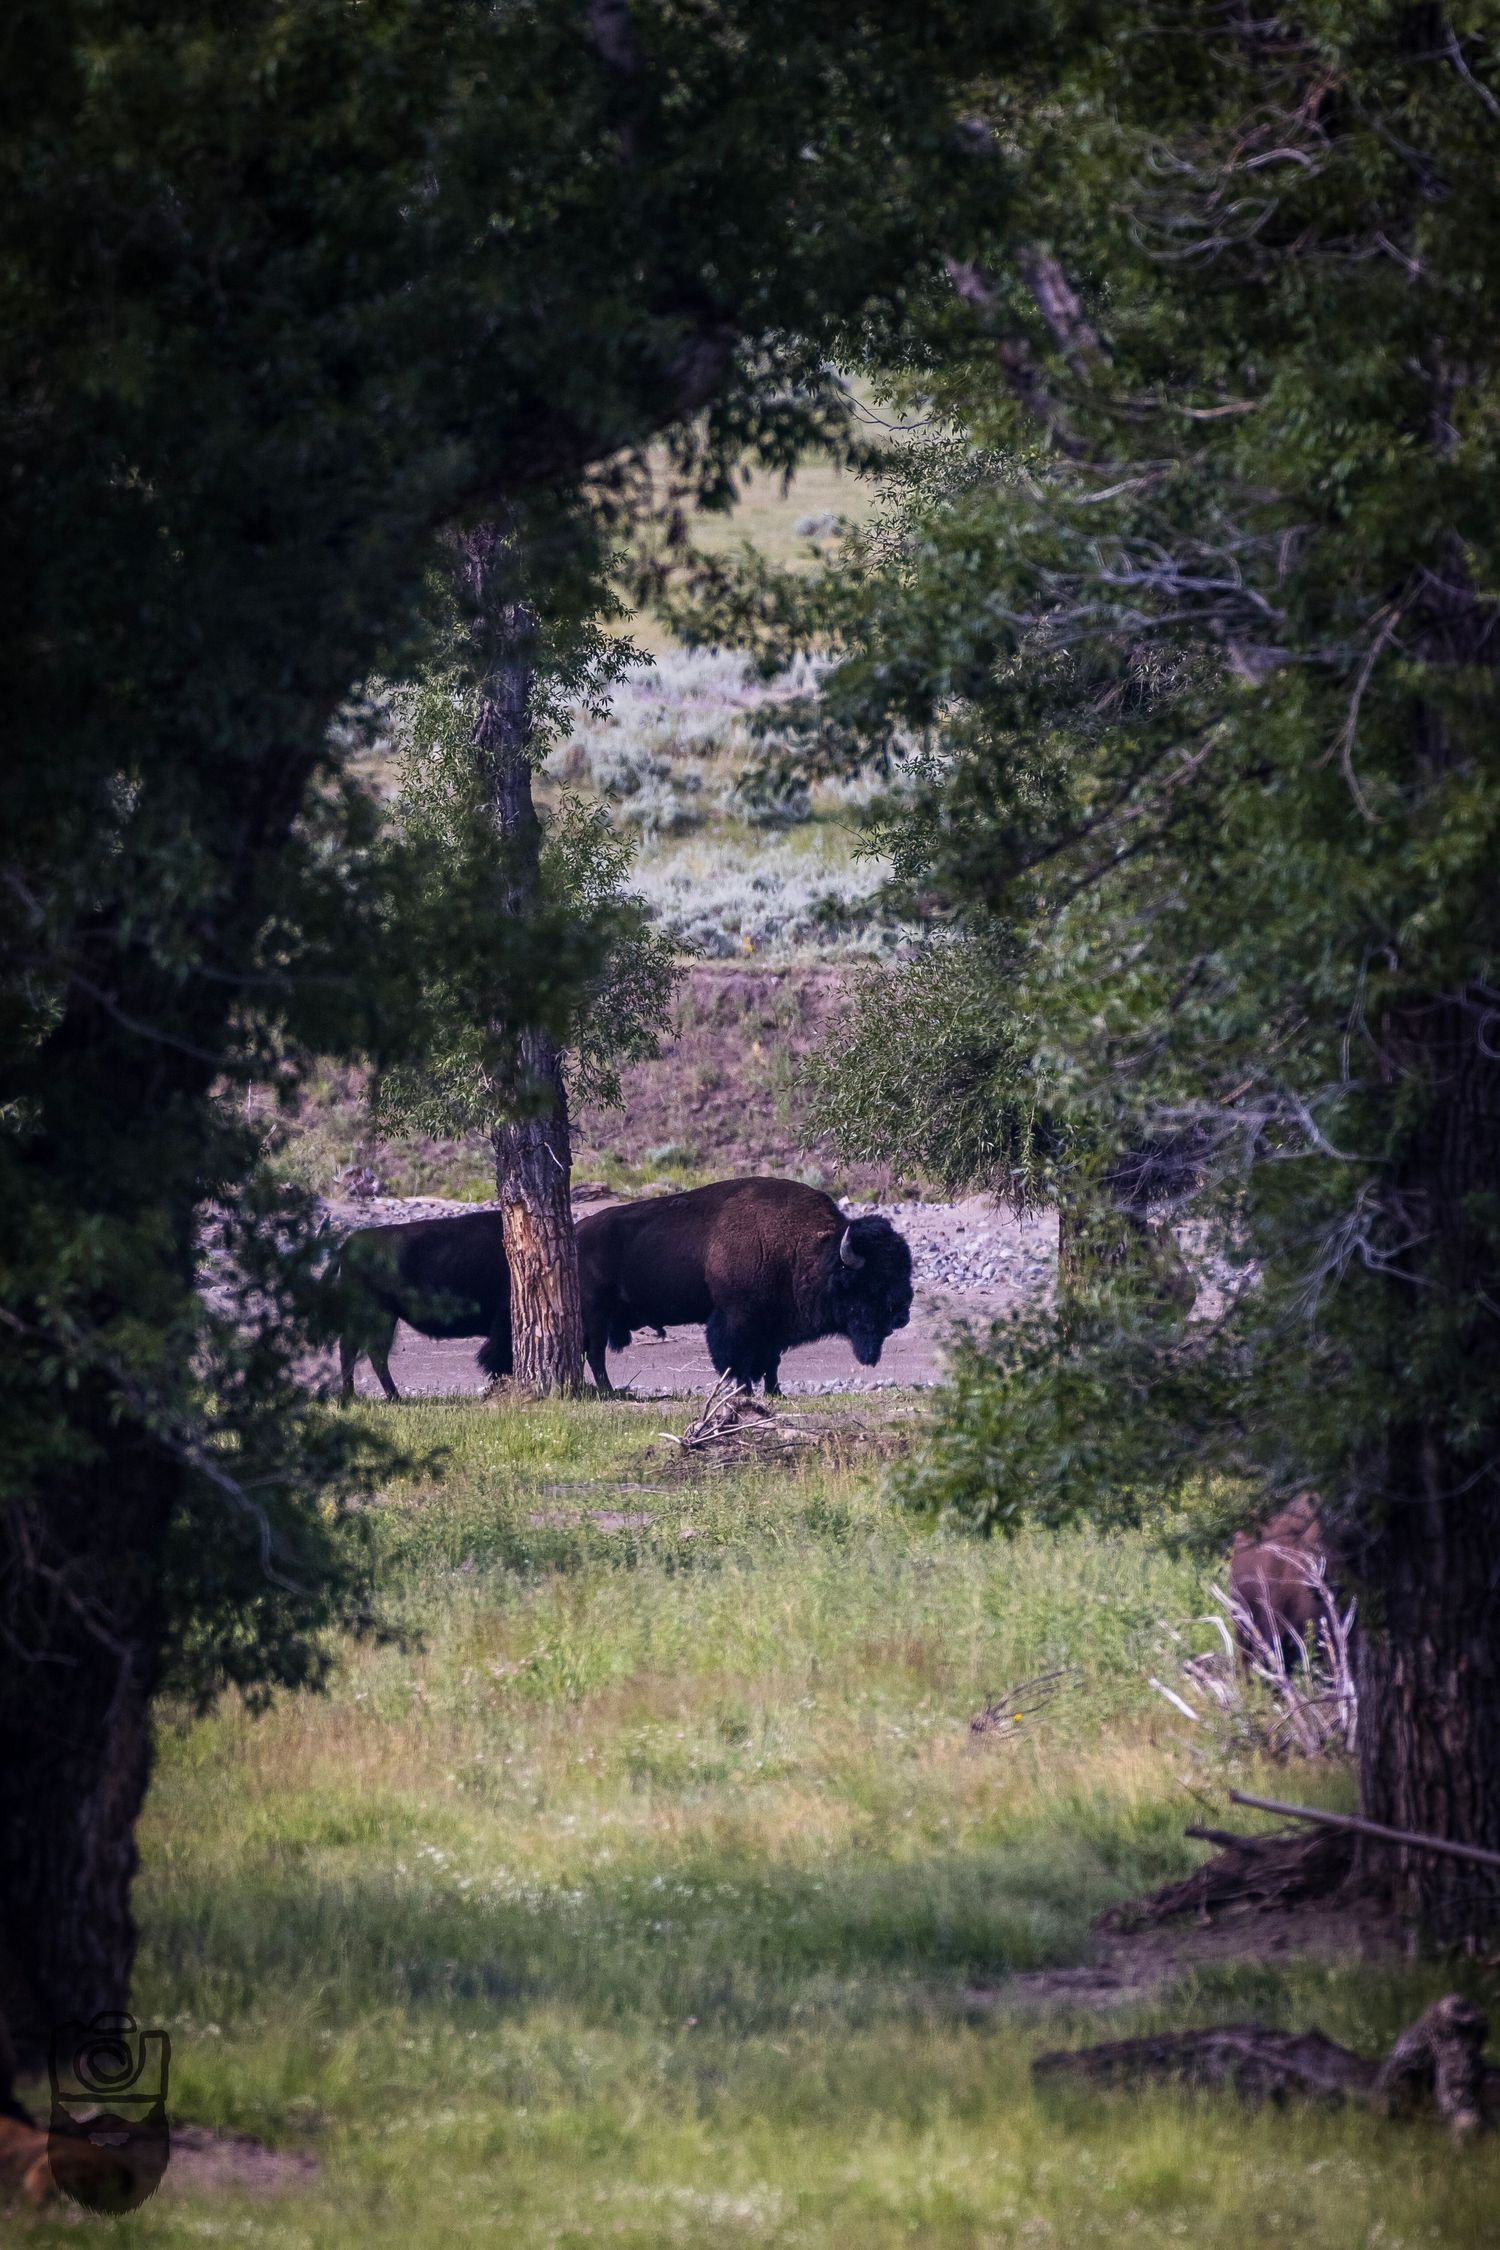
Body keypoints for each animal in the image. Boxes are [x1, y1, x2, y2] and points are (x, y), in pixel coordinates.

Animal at [333, 1212, 512, 1399]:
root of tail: (348, 1244)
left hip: (383, 1317)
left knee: (367, 1351)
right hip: (375, 1314)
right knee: (359, 1350)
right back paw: (375, 1396)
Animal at [575, 1176, 913, 1395]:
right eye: (872, 1281)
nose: (902, 1315)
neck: (807, 1250)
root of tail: (577, 1232)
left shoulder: (774, 1326)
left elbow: (771, 1361)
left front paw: (776, 1392)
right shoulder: (737, 1318)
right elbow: (737, 1357)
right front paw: (744, 1391)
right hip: (596, 1314)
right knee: (595, 1353)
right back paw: (609, 1391)